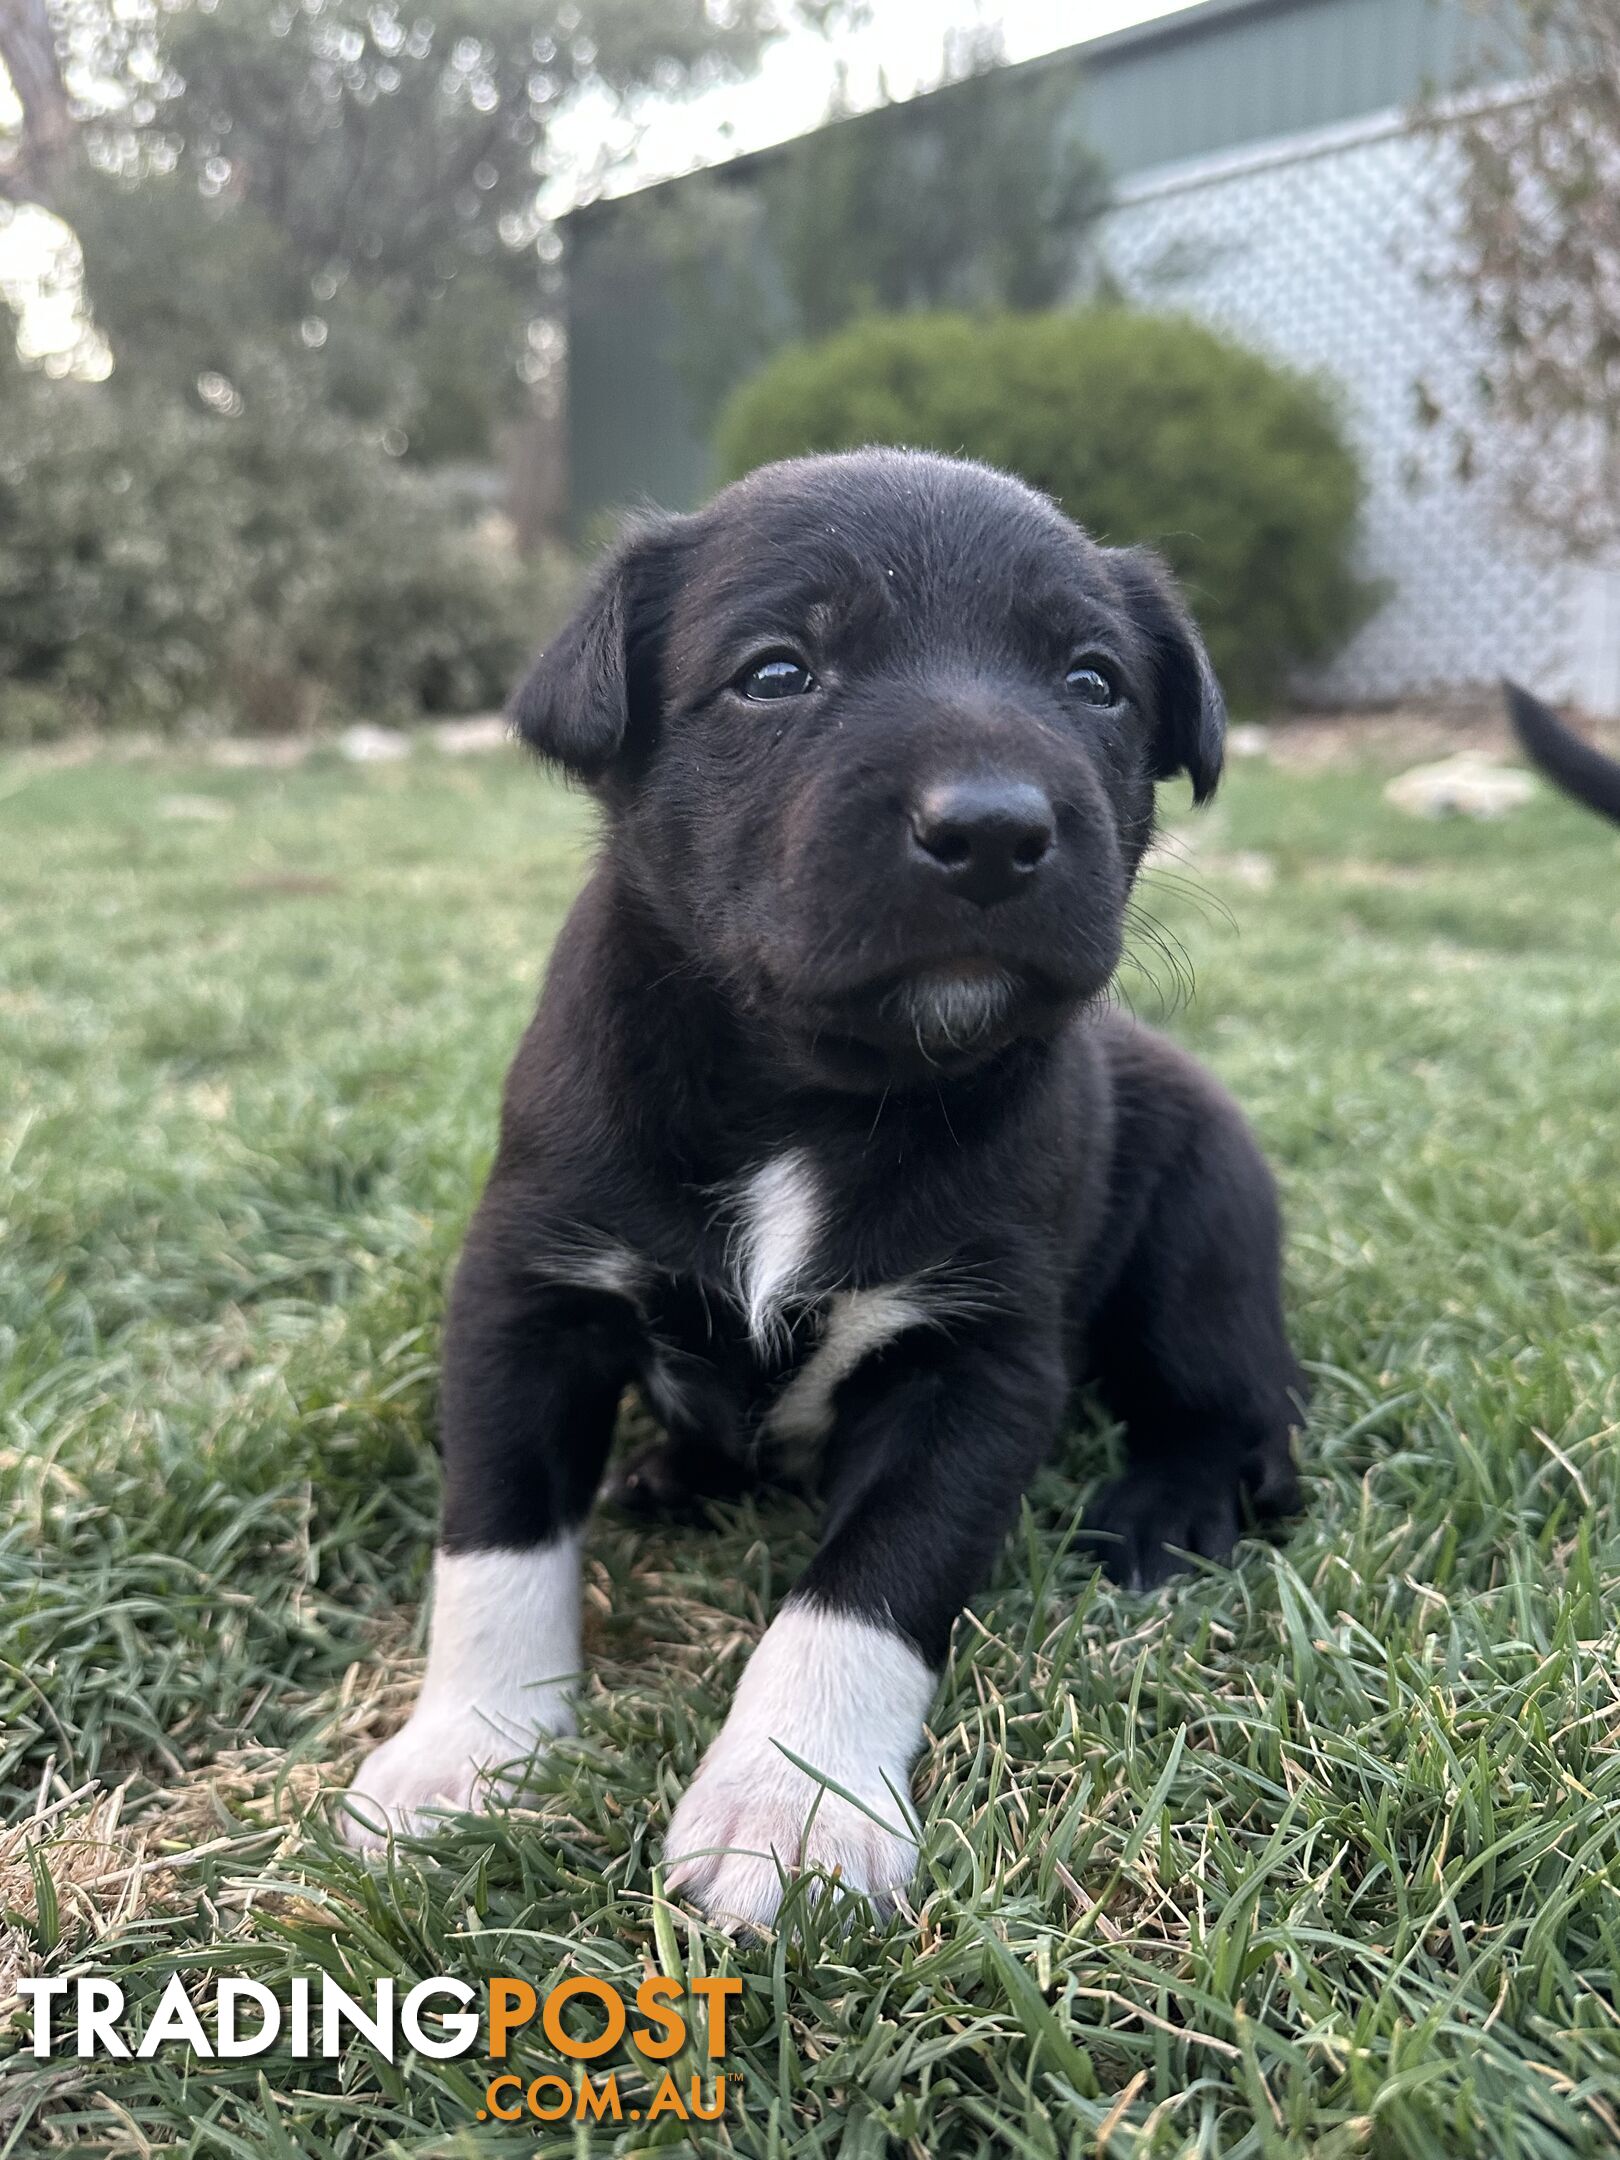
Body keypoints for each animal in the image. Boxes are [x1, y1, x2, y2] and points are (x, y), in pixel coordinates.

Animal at [345, 447, 1304, 1918]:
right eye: (777, 672)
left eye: (1095, 684)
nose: (993, 831)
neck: (813, 1091)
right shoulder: (524, 1297)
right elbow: (496, 1541)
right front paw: (470, 1749)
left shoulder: (975, 1362)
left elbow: (870, 1584)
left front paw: (790, 1801)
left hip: (1202, 1237)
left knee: (1238, 1407)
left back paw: (1162, 1514)